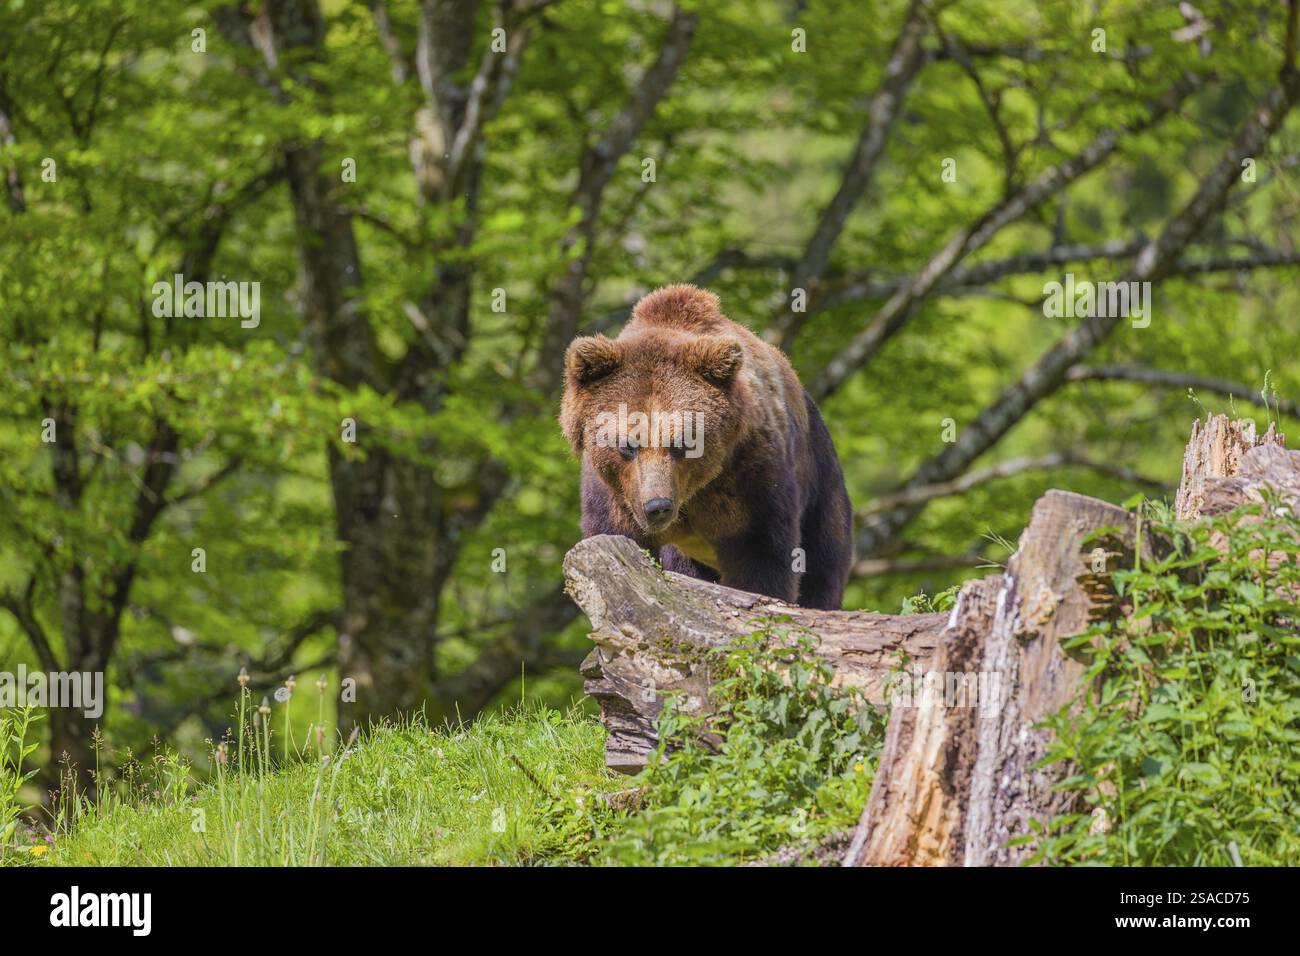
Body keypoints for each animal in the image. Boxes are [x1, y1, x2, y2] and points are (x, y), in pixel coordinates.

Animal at [559, 284, 853, 610]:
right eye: (627, 444)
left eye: (684, 442)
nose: (657, 507)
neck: (692, 494)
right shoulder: (615, 495)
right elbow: (614, 541)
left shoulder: (750, 475)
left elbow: (764, 558)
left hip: (820, 480)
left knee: (824, 561)